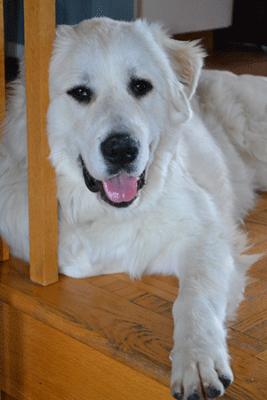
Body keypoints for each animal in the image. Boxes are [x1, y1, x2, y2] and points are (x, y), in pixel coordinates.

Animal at [0, 18, 267, 400]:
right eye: (80, 93)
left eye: (140, 86)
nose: (122, 150)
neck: (112, 211)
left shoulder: (206, 237)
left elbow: (193, 300)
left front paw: (197, 360)